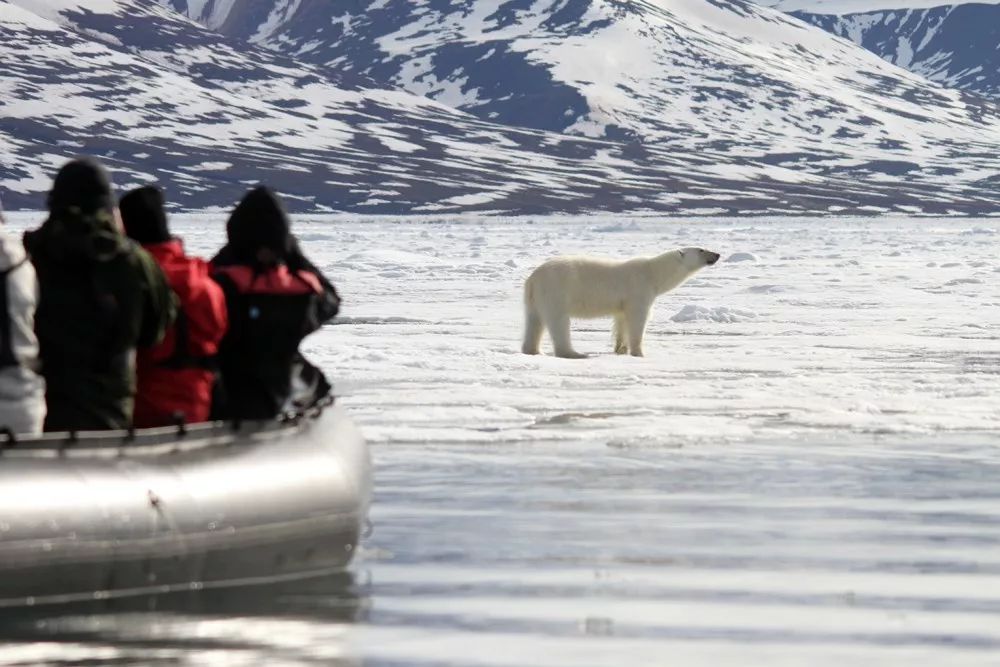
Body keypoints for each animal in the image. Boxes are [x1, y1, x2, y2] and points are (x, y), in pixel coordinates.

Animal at [524, 247, 720, 360]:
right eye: (701, 250)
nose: (717, 254)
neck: (653, 273)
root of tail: (533, 278)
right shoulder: (639, 289)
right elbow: (638, 319)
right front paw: (639, 353)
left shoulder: (623, 302)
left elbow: (622, 321)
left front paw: (621, 349)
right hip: (557, 290)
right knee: (559, 321)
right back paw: (574, 353)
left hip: (535, 298)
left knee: (534, 321)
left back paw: (533, 350)